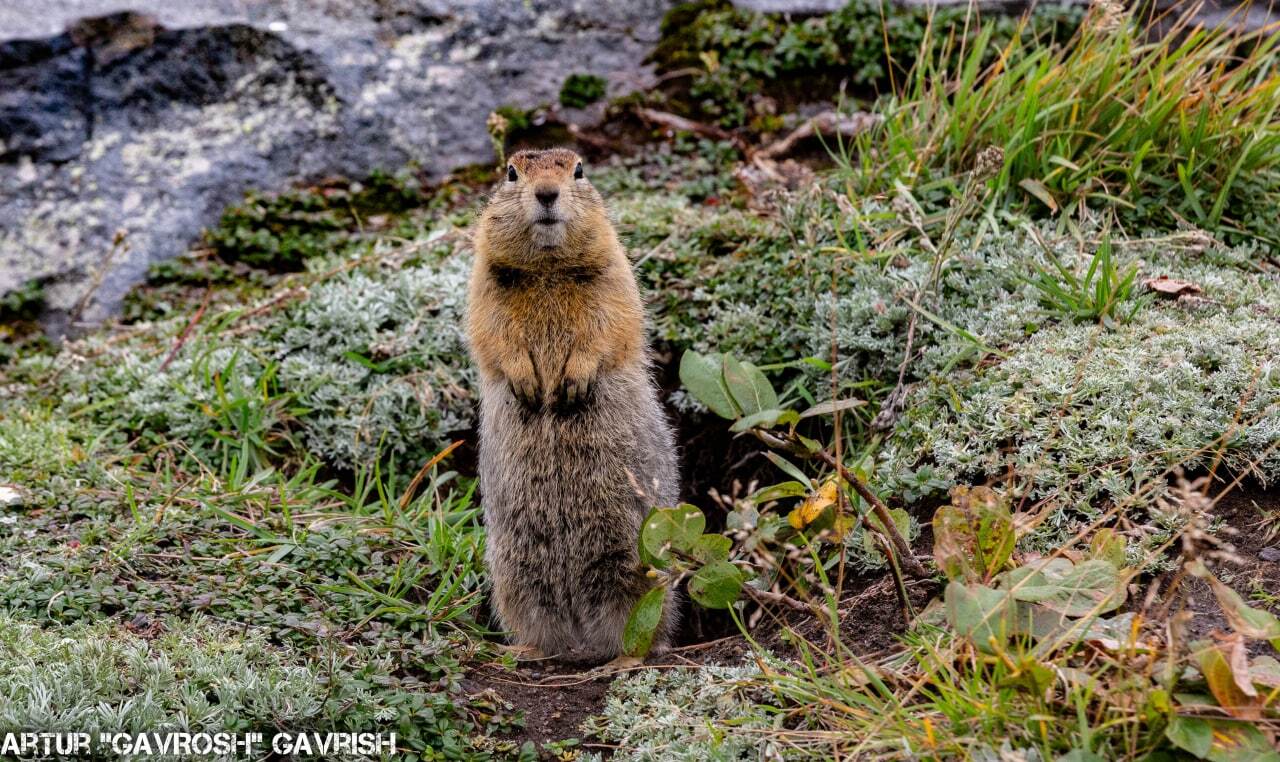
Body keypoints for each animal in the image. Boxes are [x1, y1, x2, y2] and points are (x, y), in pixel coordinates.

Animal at [463, 147, 680, 660]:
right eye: (511, 172)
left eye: (578, 170)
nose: (547, 193)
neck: (547, 268)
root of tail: (583, 640)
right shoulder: (484, 286)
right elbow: (491, 333)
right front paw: (527, 383)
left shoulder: (614, 276)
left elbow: (609, 327)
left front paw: (573, 382)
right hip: (514, 572)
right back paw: (528, 651)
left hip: (636, 562)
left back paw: (627, 657)